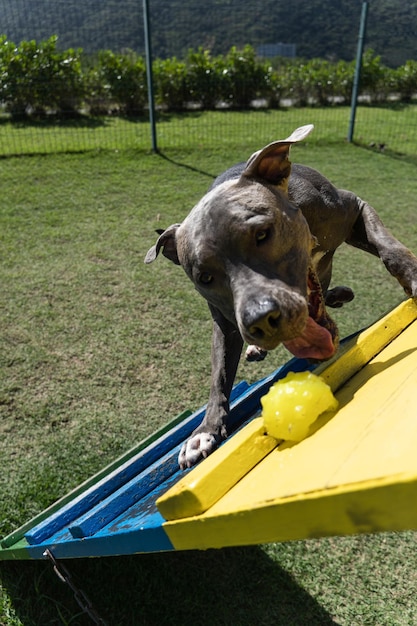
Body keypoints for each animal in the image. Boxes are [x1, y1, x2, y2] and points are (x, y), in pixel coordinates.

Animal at [145, 124, 416, 466]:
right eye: (204, 277)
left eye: (262, 233)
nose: (261, 319)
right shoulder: (225, 323)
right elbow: (219, 374)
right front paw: (203, 432)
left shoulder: (355, 207)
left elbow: (389, 248)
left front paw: (413, 277)